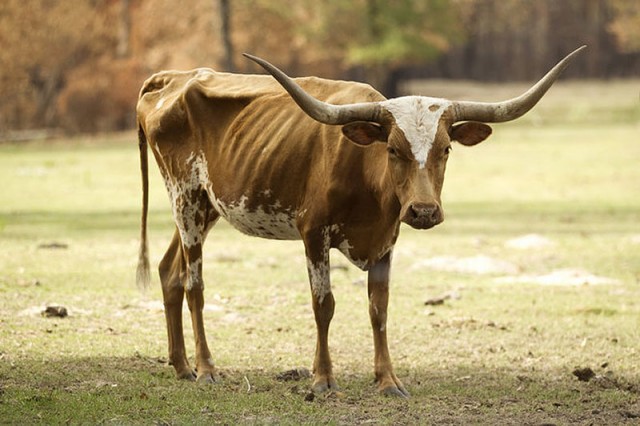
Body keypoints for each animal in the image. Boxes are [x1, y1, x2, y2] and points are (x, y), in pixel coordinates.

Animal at [135, 45, 584, 396]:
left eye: (445, 149)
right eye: (393, 149)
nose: (423, 211)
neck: (367, 180)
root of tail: (170, 79)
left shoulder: (387, 239)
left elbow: (378, 308)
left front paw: (387, 381)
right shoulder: (313, 234)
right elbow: (324, 304)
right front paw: (322, 379)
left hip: (205, 206)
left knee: (169, 271)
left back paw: (182, 367)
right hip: (185, 198)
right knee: (194, 284)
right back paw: (207, 368)